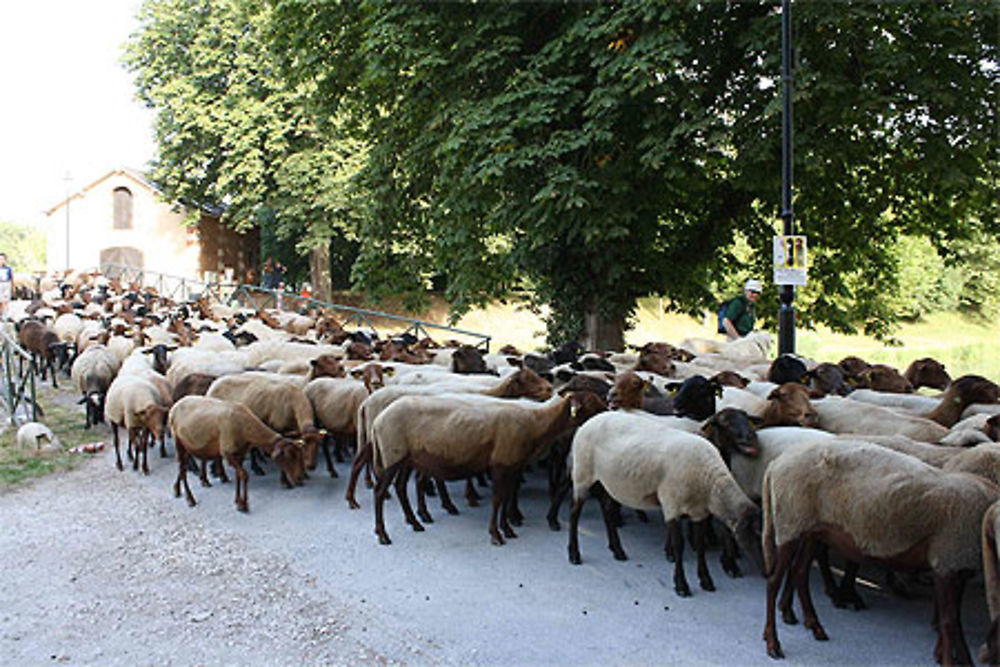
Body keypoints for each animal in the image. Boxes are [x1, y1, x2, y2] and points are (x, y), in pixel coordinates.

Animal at [168, 396, 304, 512]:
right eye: (288, 457)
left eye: (298, 456)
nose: (299, 480)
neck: (246, 429)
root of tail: (175, 406)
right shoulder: (227, 452)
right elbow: (244, 475)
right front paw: (244, 504)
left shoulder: (240, 454)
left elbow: (239, 476)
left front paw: (238, 501)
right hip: (178, 441)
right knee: (183, 470)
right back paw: (190, 499)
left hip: (187, 445)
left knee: (182, 467)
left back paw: (177, 489)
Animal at [370, 394, 580, 544]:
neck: (535, 423)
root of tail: (378, 421)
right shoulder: (500, 465)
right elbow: (498, 499)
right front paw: (496, 534)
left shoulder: (512, 465)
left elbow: (506, 496)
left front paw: (507, 528)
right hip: (393, 454)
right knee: (380, 491)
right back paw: (383, 535)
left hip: (406, 458)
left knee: (400, 487)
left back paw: (415, 523)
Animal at [568, 412, 760, 600]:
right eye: (726, 422)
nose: (765, 569)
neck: (710, 484)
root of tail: (589, 421)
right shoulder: (672, 505)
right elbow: (678, 545)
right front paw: (681, 585)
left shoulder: (698, 512)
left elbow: (700, 545)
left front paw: (706, 580)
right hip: (582, 475)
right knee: (574, 514)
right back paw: (574, 554)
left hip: (608, 482)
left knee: (607, 509)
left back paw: (617, 550)